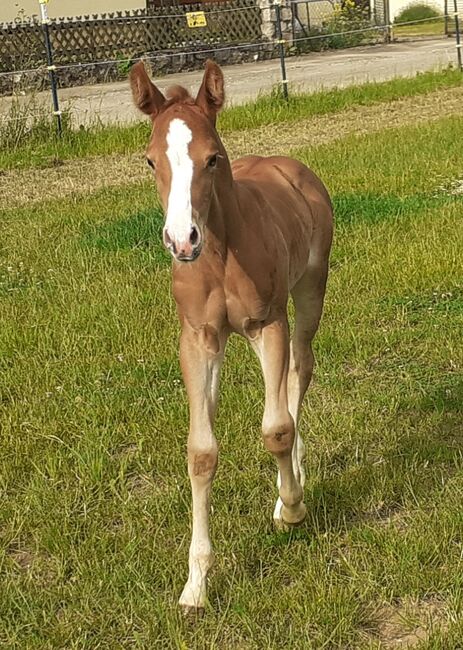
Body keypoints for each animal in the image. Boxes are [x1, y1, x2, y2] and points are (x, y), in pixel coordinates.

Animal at [130, 58, 334, 612]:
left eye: (212, 158)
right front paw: (196, 584)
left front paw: (291, 507)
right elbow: (201, 452)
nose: (182, 241)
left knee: (300, 369)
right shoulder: (199, 338)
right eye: (151, 161)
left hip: (310, 290)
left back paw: (295, 480)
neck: (220, 255)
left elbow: (276, 428)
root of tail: (289, 166)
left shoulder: (268, 324)